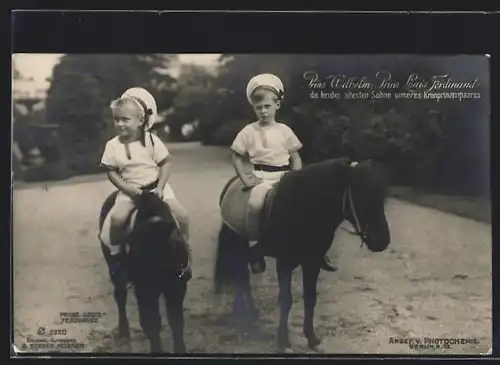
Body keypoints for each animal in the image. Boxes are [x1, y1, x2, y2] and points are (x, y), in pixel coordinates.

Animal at [99, 191, 191, 352]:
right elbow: (151, 322)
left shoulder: (176, 285)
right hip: (114, 270)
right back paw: (124, 331)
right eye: (134, 246)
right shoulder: (145, 289)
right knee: (120, 296)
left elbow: (176, 320)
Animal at [213, 158, 392, 352]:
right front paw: (284, 341)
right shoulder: (284, 264)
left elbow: (310, 298)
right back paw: (245, 312)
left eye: (381, 197)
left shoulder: (312, 263)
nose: (382, 241)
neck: (303, 209)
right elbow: (286, 300)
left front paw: (311, 338)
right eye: (361, 195)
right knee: (240, 274)